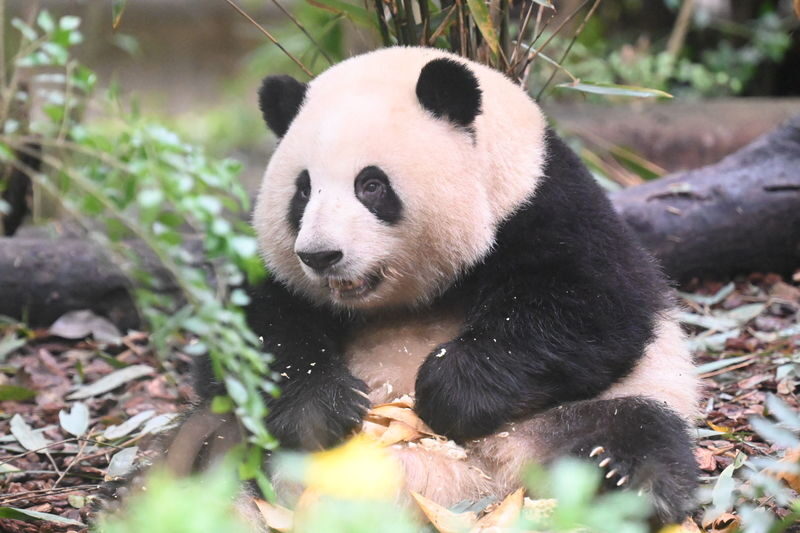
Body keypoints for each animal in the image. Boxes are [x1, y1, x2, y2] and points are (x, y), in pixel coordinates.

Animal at [192, 46, 700, 524]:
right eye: (302, 190)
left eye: (370, 185)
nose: (320, 256)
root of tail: (477, 484)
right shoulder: (267, 264)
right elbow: (252, 328)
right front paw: (323, 410)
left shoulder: (543, 200)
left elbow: (597, 306)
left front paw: (450, 391)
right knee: (202, 445)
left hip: (582, 410)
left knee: (634, 427)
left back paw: (627, 481)